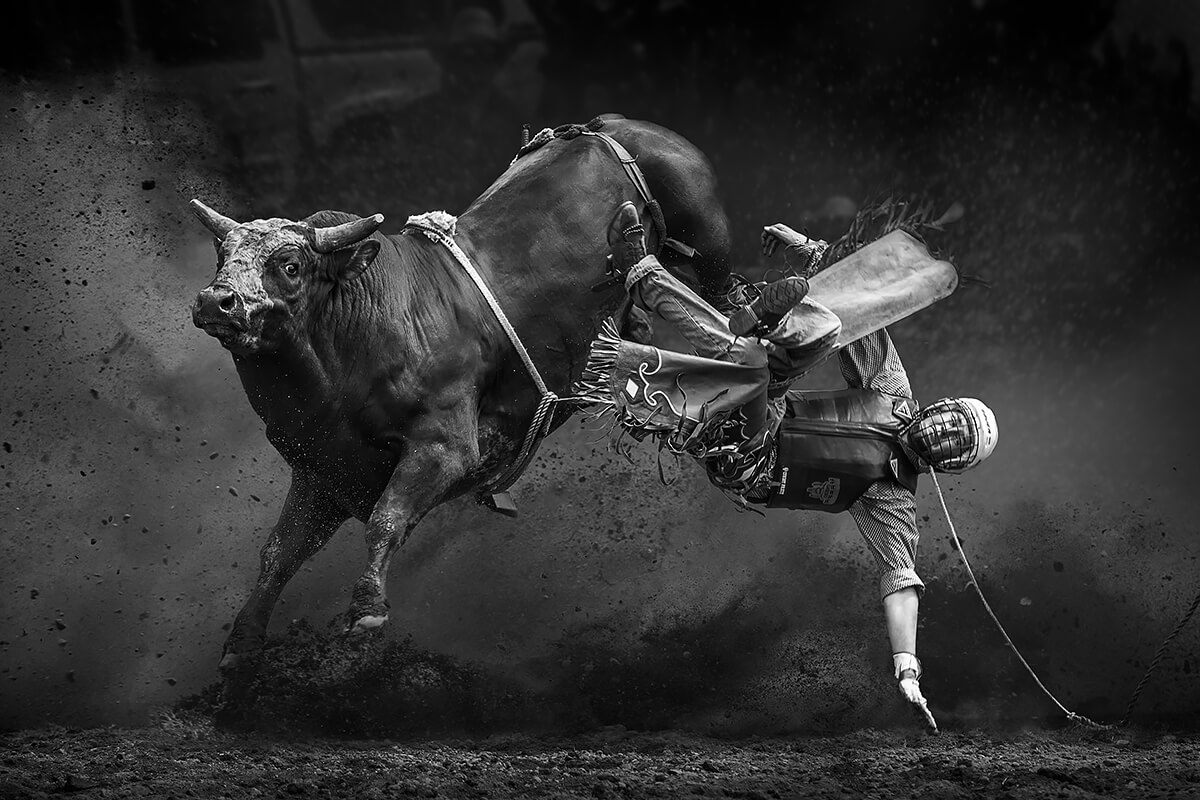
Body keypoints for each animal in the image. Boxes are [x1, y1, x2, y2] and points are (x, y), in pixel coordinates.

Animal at [188, 113, 729, 676]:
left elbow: (385, 520)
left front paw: (366, 609)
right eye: (223, 256)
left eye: (291, 264)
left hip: (711, 251)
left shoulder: (444, 447)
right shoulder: (323, 473)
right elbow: (278, 553)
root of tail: (611, 125)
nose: (216, 300)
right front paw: (242, 641)